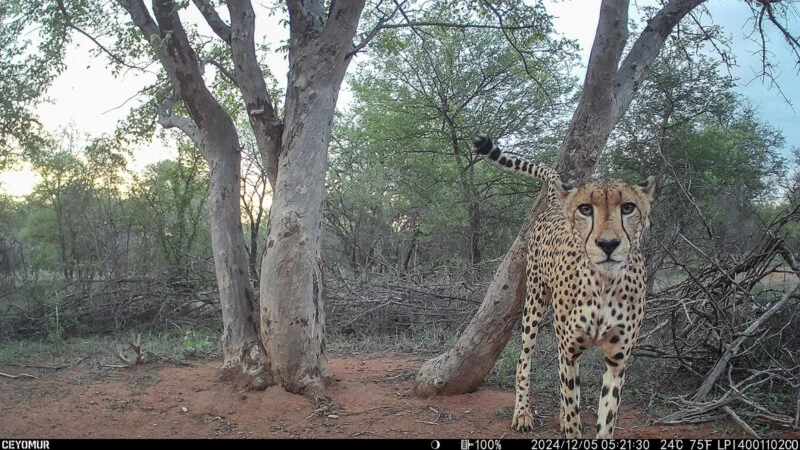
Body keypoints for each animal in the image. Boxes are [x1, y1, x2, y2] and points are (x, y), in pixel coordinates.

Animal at [473, 136, 657, 439]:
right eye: (586, 209)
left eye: (628, 207)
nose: (608, 244)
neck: (604, 283)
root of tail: (555, 204)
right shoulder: (567, 351)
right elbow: (571, 407)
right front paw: (569, 423)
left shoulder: (617, 362)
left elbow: (606, 417)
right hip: (534, 303)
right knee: (524, 361)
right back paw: (522, 413)